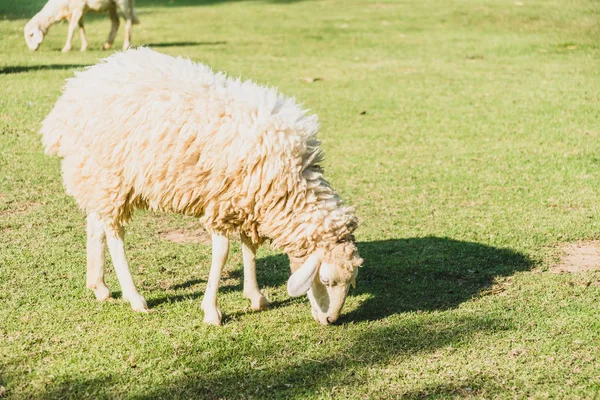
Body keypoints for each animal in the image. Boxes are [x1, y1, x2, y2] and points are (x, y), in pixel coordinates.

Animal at [42, 48, 364, 326]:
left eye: (351, 283)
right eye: (326, 281)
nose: (331, 320)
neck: (292, 179)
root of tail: (75, 90)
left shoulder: (247, 201)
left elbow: (248, 247)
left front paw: (255, 296)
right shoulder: (222, 200)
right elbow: (222, 252)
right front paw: (212, 311)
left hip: (96, 176)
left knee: (95, 224)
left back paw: (99, 286)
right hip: (111, 176)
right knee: (114, 235)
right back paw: (135, 298)